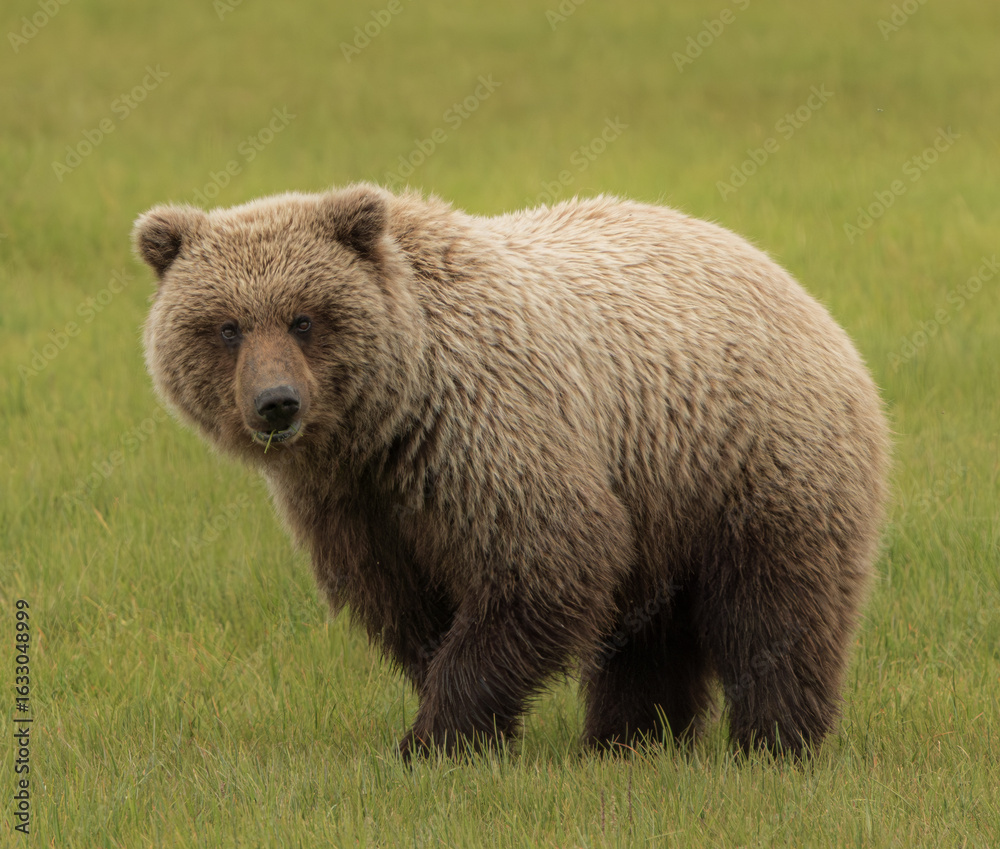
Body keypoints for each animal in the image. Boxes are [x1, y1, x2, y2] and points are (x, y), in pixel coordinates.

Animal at [134, 183, 889, 759]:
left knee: (777, 610)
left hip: (749, 457)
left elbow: (546, 563)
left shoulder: (487, 432)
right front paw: (459, 726)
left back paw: (776, 741)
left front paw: (434, 738)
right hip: (659, 491)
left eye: (303, 318)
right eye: (226, 325)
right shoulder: (354, 505)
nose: (276, 403)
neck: (388, 422)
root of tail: (805, 296)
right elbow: (406, 608)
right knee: (651, 634)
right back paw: (631, 739)